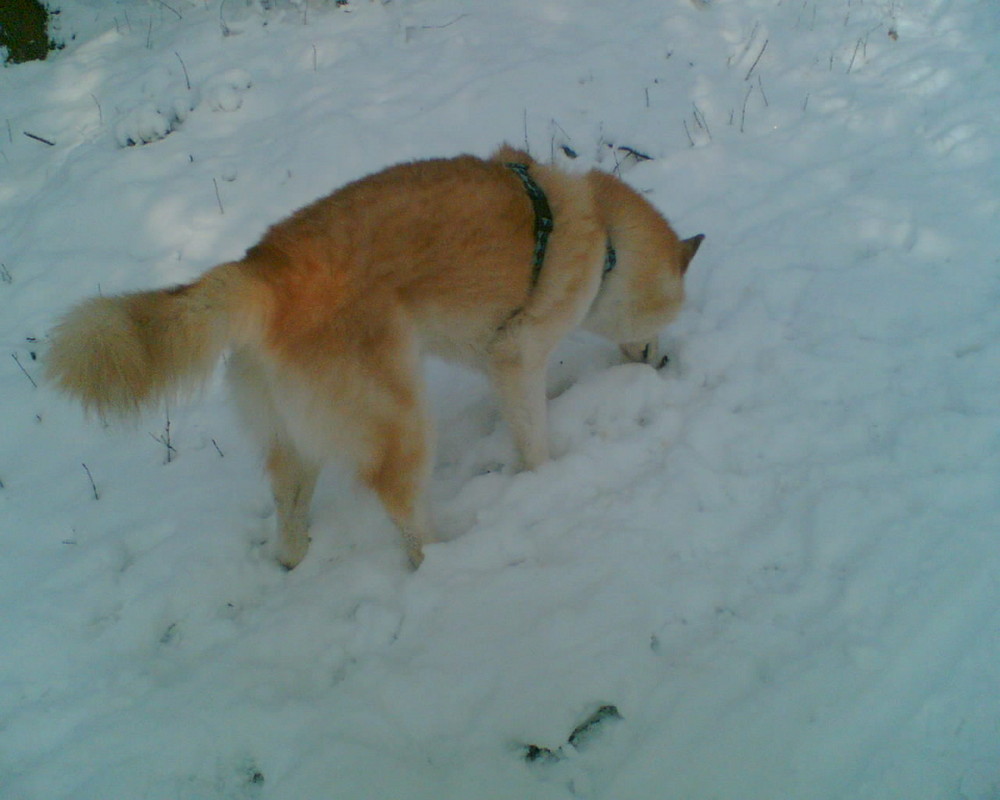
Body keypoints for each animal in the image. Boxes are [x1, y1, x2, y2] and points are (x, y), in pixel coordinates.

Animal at [45, 145, 704, 568]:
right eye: (671, 313)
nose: (664, 364)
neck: (605, 237)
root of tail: (262, 269)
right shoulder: (517, 359)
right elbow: (535, 442)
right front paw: (547, 481)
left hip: (298, 437)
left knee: (288, 509)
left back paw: (296, 561)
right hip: (401, 422)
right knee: (401, 505)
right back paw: (444, 558)